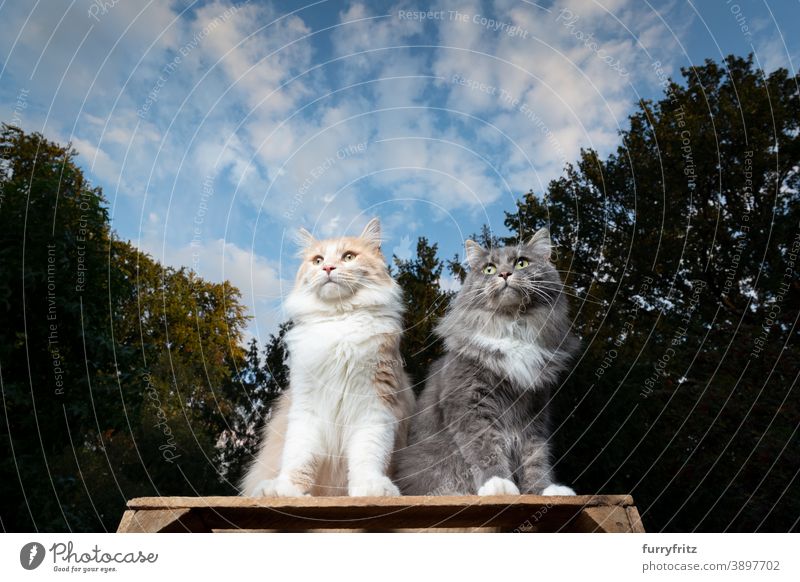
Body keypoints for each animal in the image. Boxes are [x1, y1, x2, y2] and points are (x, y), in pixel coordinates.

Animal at [239, 219, 412, 498]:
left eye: (348, 257)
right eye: (318, 260)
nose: (328, 268)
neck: (338, 319)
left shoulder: (375, 405)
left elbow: (367, 456)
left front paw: (370, 488)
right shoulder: (307, 407)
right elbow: (299, 458)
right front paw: (286, 489)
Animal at [396, 228, 580, 498]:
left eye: (521, 263)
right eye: (489, 269)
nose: (504, 273)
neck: (512, 326)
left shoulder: (534, 414)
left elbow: (535, 458)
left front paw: (544, 490)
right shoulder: (470, 403)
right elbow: (486, 449)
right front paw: (498, 484)